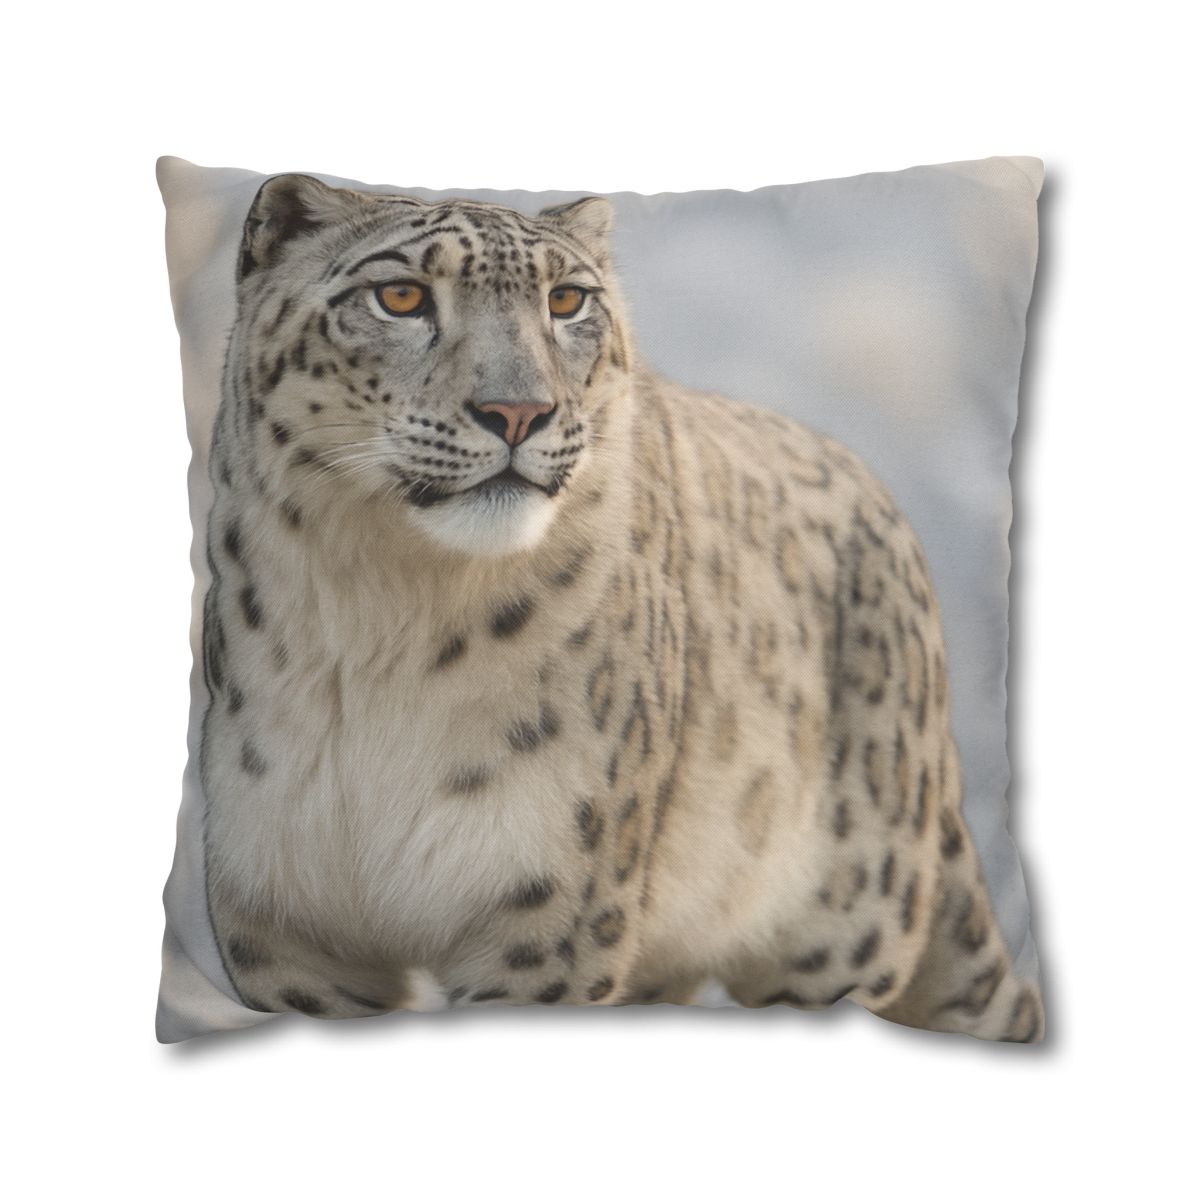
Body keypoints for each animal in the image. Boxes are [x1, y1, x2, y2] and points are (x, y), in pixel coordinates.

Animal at [197, 173, 1042, 1042]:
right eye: (400, 296)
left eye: (567, 300)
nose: (518, 412)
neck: (384, 619)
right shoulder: (288, 931)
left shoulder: (548, 920)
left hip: (839, 933)